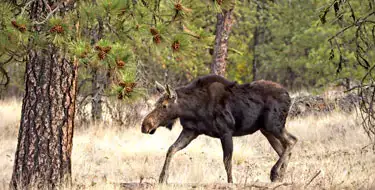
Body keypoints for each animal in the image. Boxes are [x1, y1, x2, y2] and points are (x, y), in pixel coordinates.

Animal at [142, 75, 298, 183]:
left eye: (164, 106)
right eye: (156, 103)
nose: (145, 125)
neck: (192, 109)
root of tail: (289, 96)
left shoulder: (226, 132)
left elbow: (227, 162)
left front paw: (231, 182)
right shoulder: (191, 131)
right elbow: (171, 149)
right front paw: (162, 178)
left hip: (273, 125)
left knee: (292, 140)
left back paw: (274, 173)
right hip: (266, 130)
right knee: (283, 149)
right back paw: (280, 177)